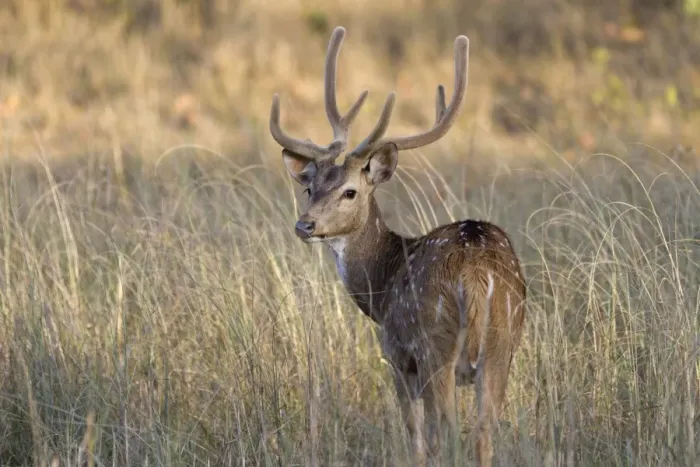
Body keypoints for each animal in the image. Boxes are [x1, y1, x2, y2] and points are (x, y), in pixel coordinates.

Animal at [269, 26, 526, 467]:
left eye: (350, 192)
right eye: (309, 187)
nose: (305, 224)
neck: (381, 287)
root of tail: (476, 272)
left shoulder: (397, 357)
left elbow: (417, 438)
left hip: (435, 346)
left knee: (448, 432)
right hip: (501, 346)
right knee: (483, 434)